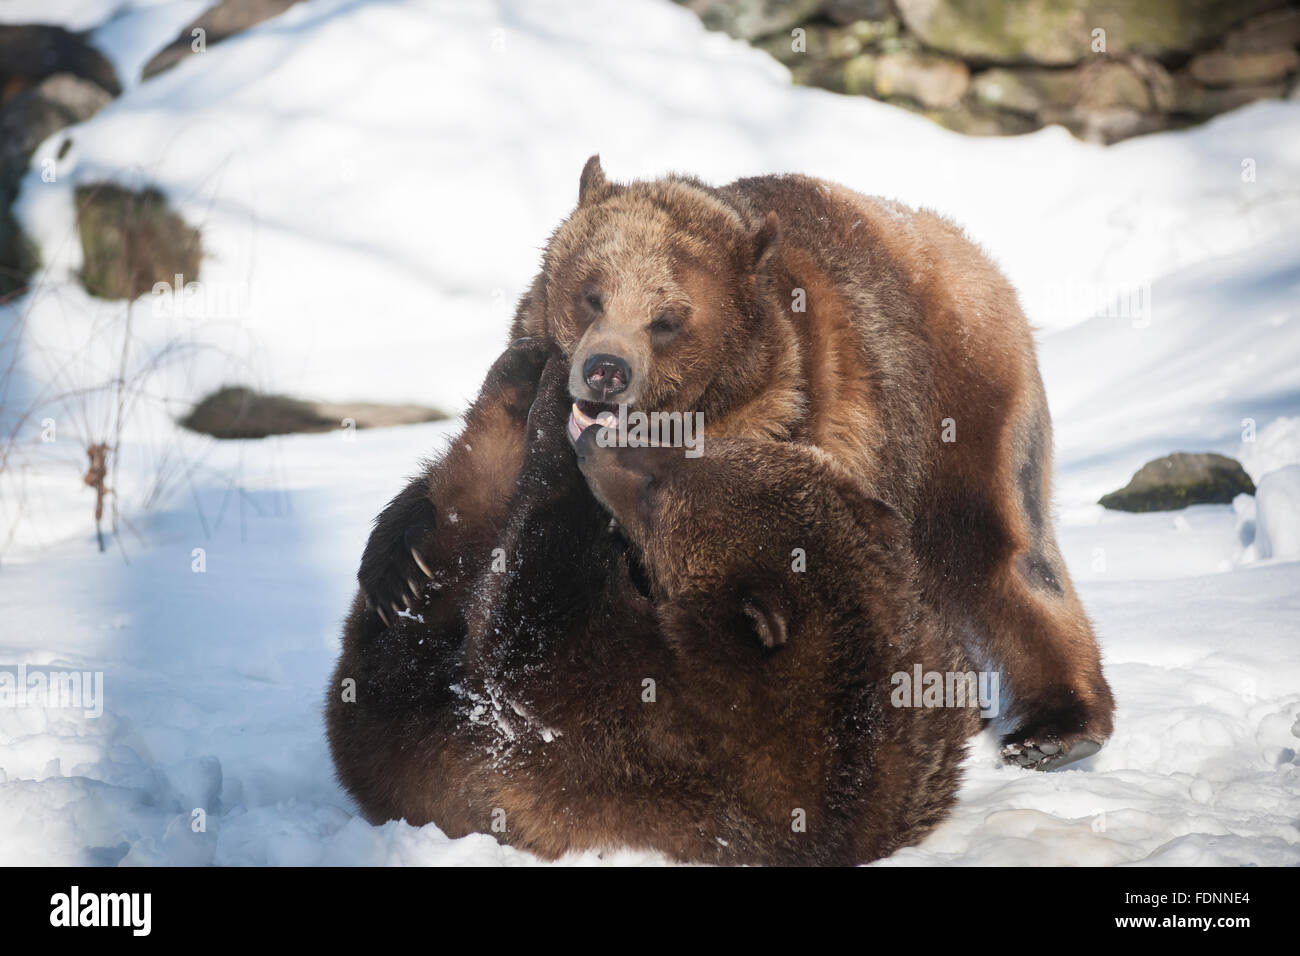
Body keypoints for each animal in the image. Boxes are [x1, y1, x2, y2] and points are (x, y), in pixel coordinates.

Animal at [327, 353, 977, 868]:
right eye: (697, 446)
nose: (602, 439)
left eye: (657, 492)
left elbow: (523, 643)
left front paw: (555, 430)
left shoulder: (637, 730)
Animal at [358, 158, 1118, 770]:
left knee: (999, 551)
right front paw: (401, 570)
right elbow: (470, 486)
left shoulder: (787, 426)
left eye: (667, 319)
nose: (605, 370)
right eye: (590, 292)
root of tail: (967, 248)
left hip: (955, 404)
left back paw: (1056, 727)